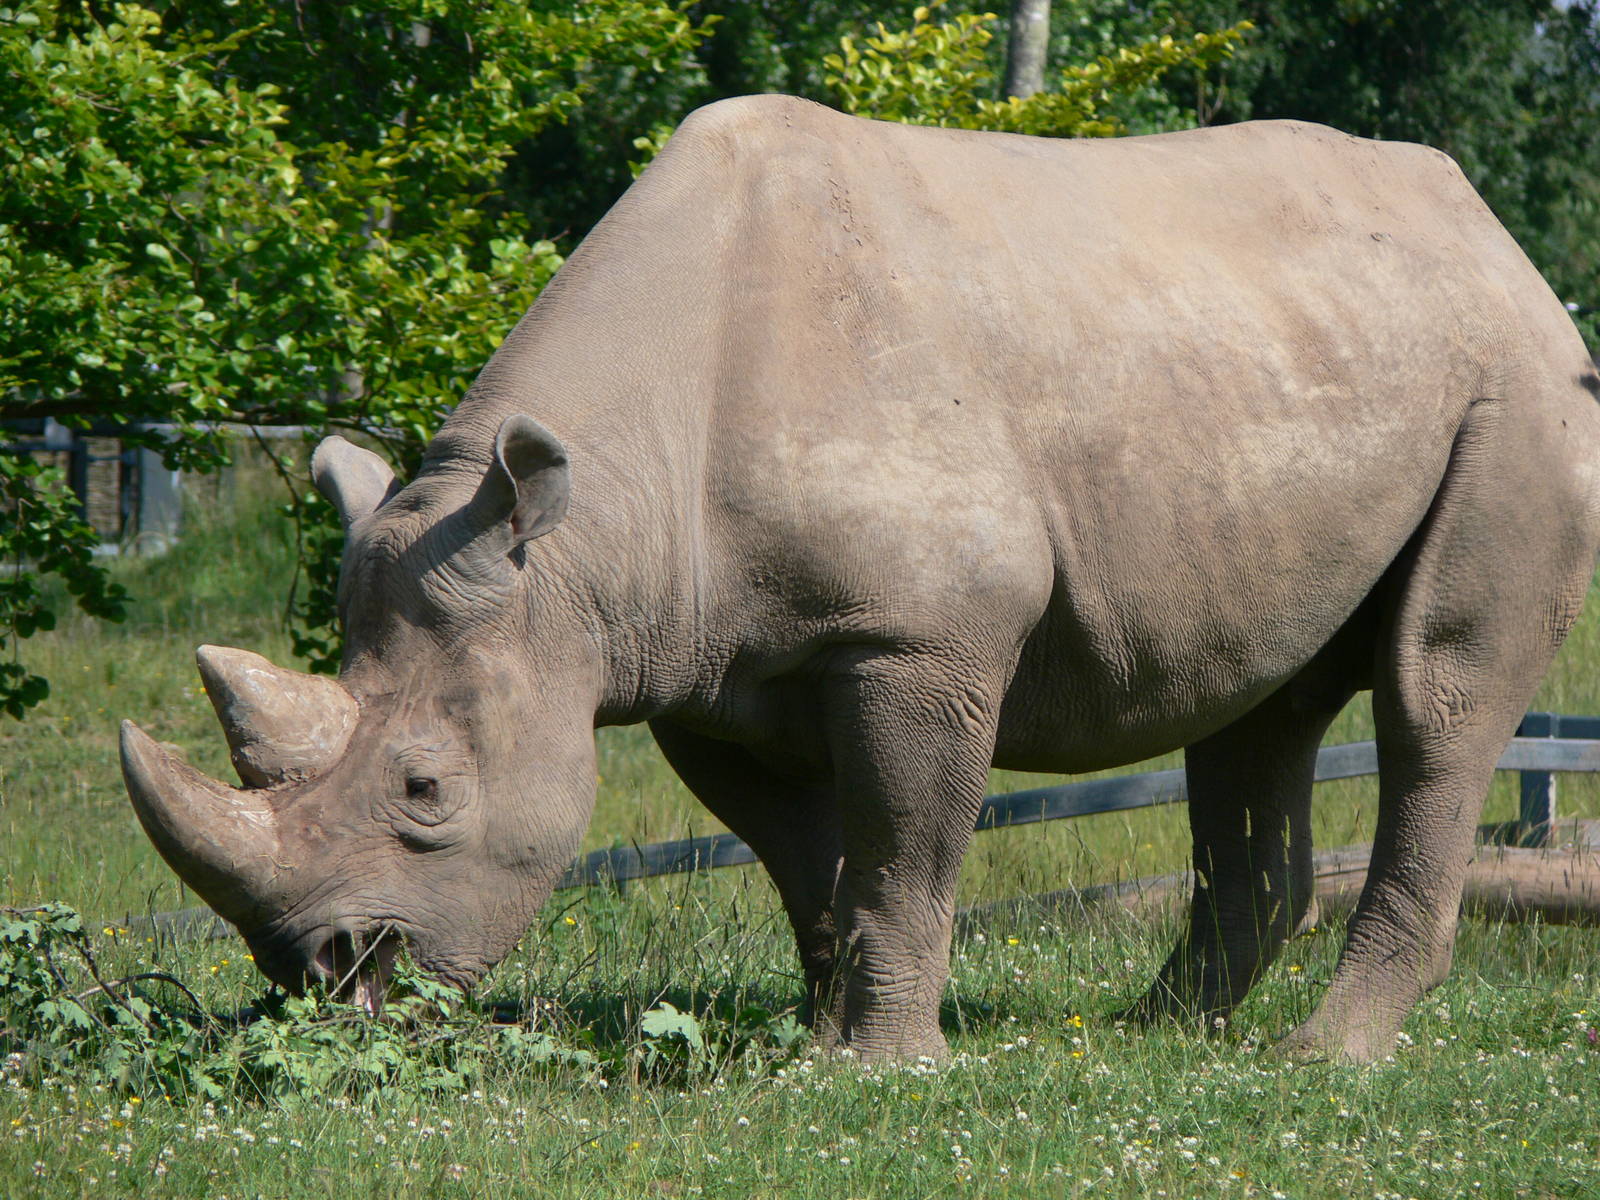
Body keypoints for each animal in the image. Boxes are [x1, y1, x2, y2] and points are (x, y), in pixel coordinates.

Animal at [120, 95, 1600, 1063]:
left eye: (426, 791)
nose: (316, 974)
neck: (579, 551)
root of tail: (1500, 240)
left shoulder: (915, 639)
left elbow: (902, 847)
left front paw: (889, 1065)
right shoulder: (707, 664)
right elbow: (808, 859)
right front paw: (822, 1046)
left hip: (1521, 388)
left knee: (1431, 698)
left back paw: (1323, 1056)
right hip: (1294, 366)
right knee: (1255, 711)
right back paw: (1148, 1039)